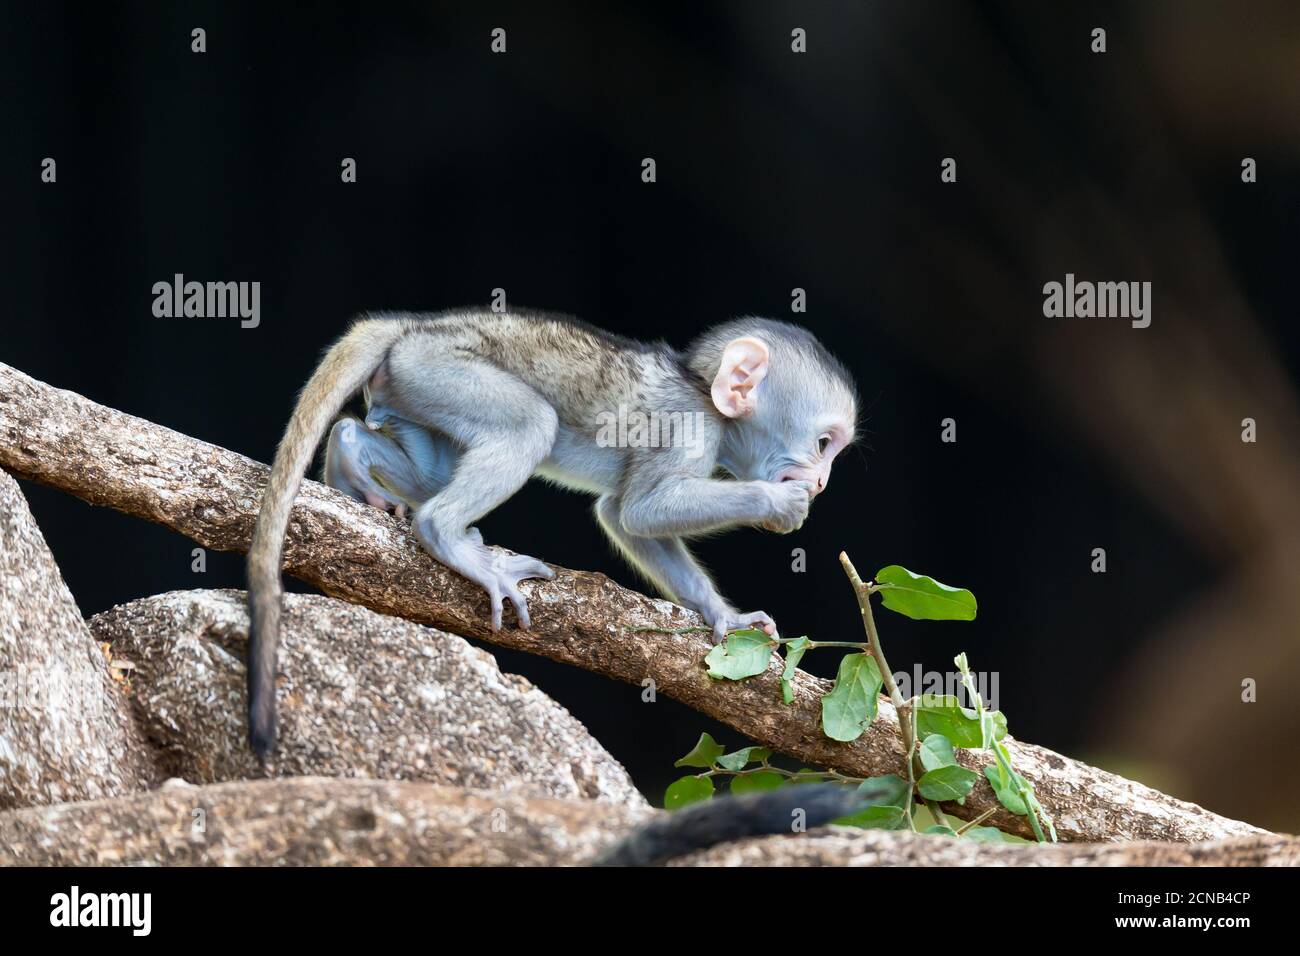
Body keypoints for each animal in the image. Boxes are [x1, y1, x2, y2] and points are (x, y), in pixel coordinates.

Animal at [248, 310, 857, 759]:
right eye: (823, 443)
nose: (824, 481)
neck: (701, 390)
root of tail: (414, 326)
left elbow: (623, 515)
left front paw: (724, 616)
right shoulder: (687, 427)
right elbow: (642, 509)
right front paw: (779, 504)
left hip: (408, 387)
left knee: (417, 462)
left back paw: (350, 457)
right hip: (438, 370)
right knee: (527, 427)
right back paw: (452, 539)